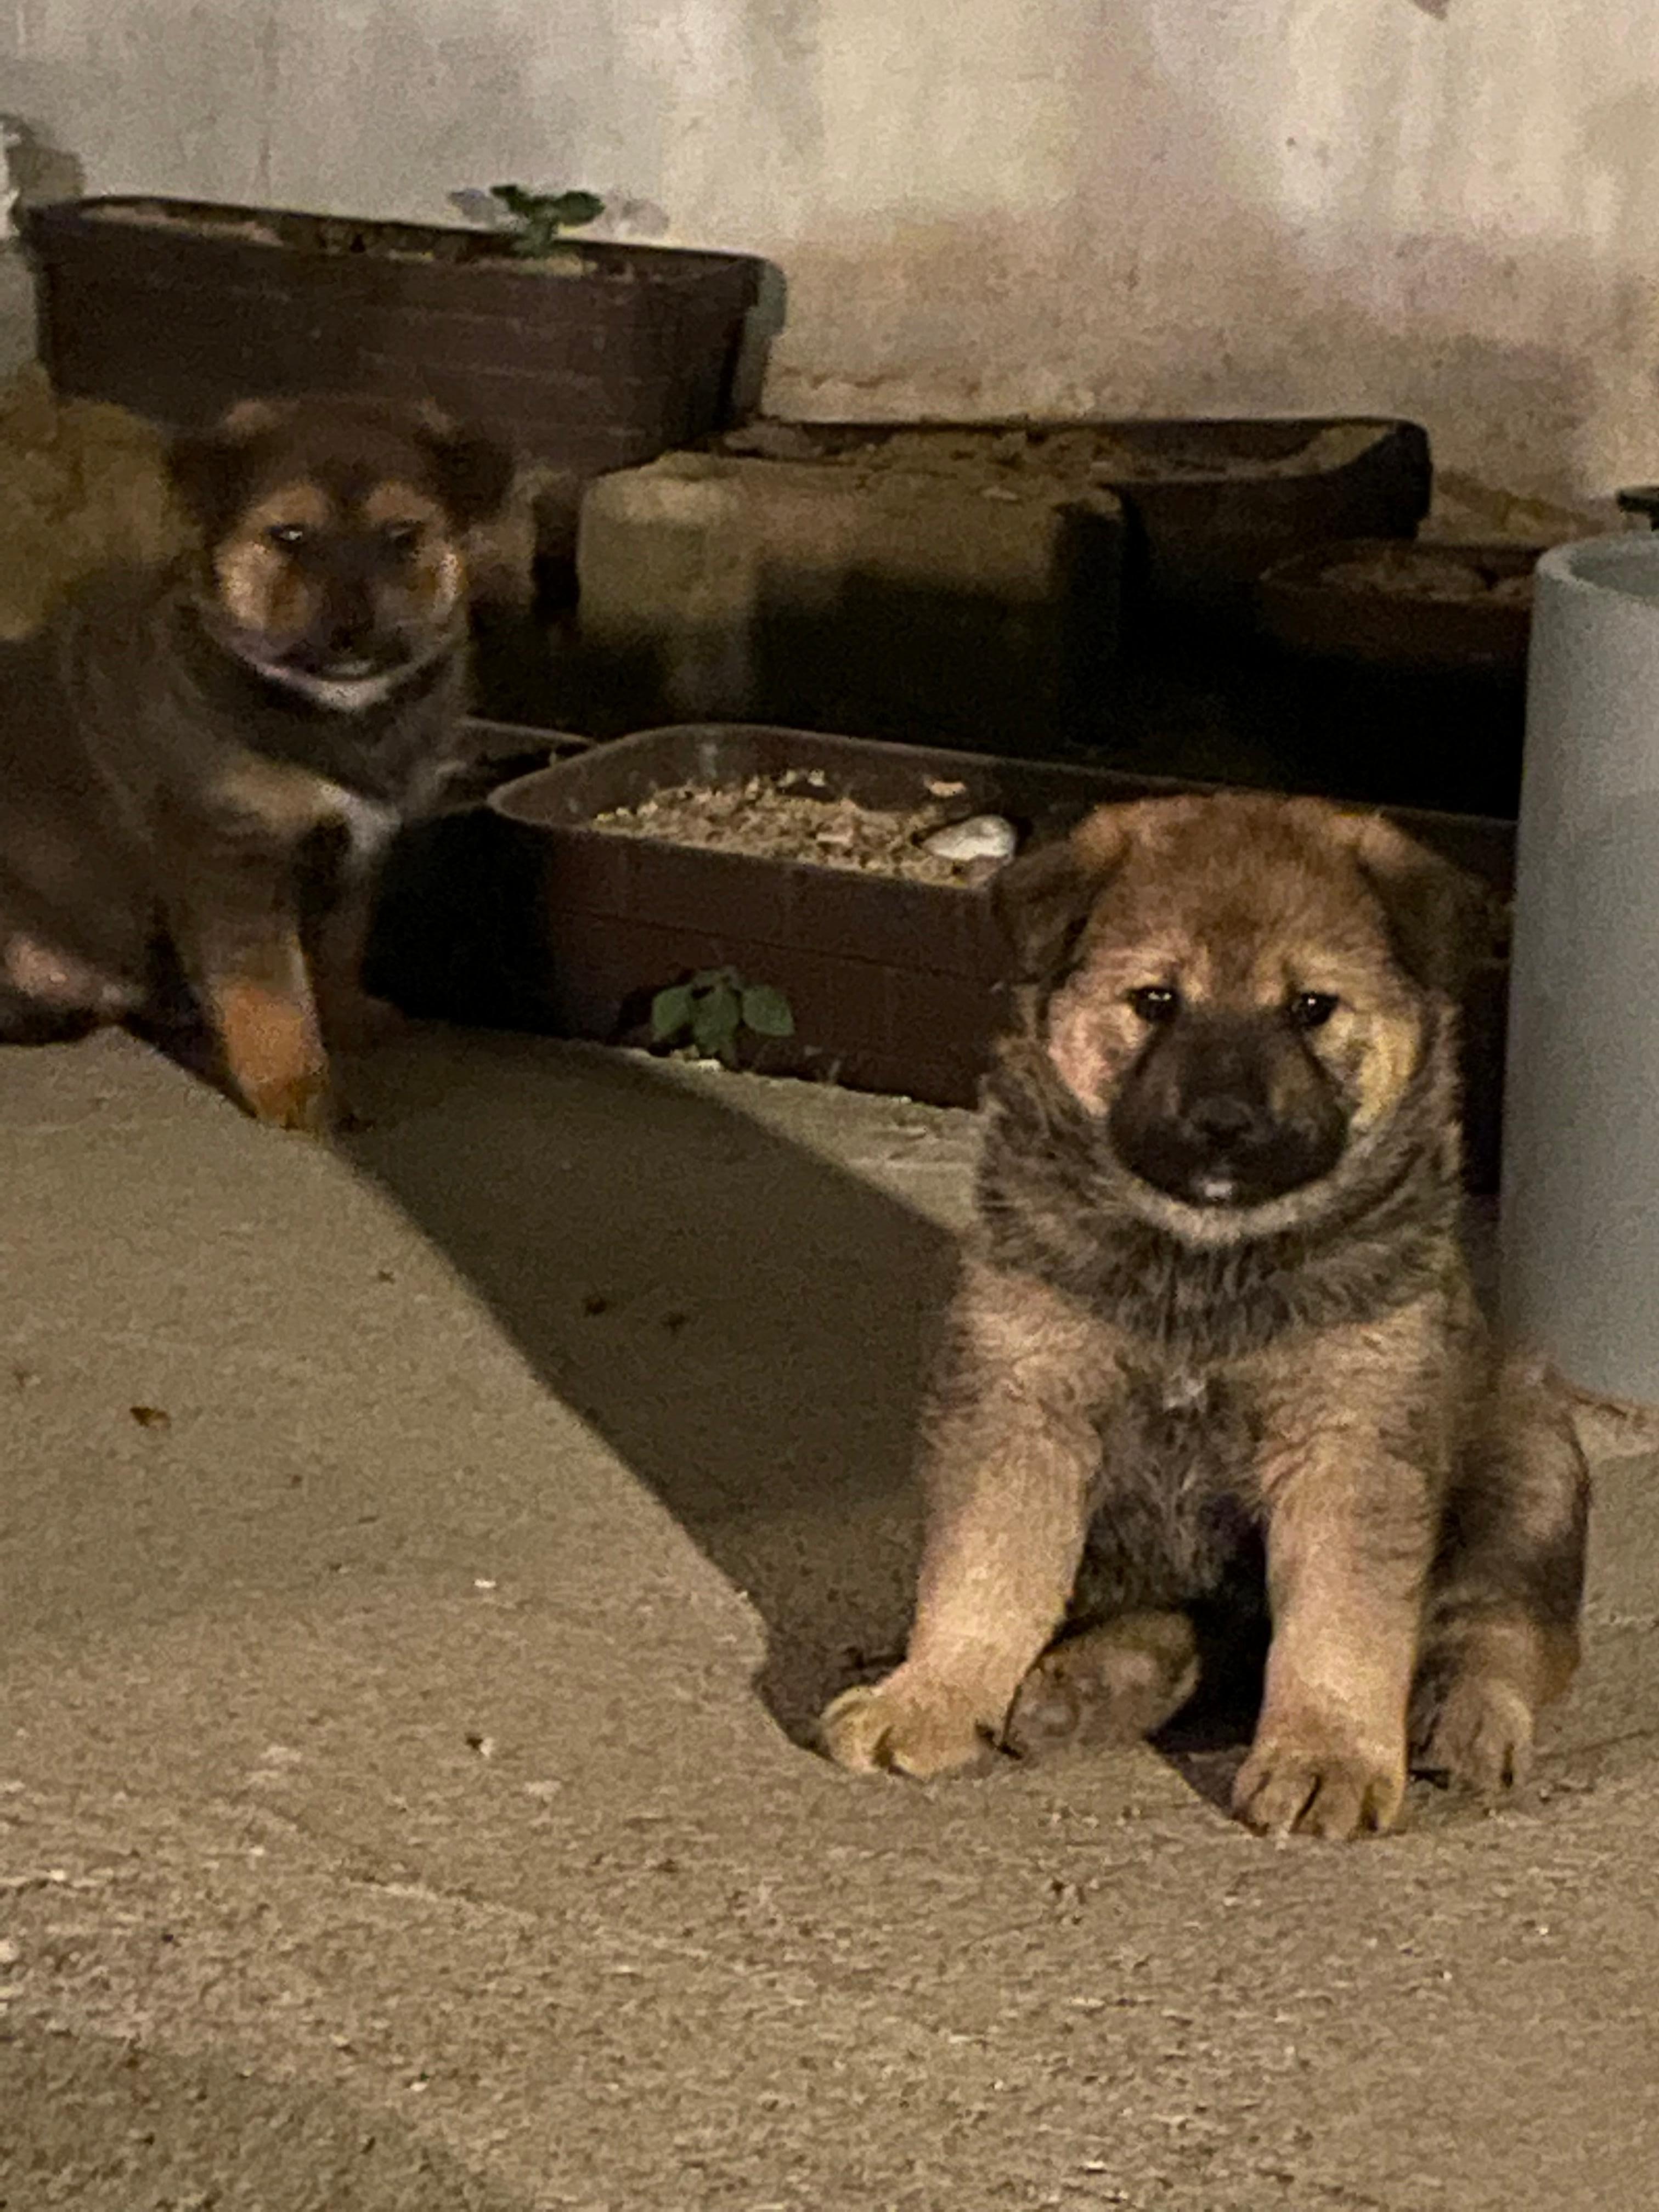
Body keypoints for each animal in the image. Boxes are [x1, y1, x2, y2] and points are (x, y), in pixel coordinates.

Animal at [0, 389, 513, 1132]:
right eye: (289, 536)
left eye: (403, 535)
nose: (351, 631)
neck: (330, 711)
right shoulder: (230, 856)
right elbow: (268, 990)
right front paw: (296, 1090)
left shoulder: (358, 856)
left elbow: (335, 955)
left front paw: (349, 1023)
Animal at [827, 805, 1593, 1840]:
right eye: (1155, 1000)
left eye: (1310, 1007)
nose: (1224, 1120)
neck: (1204, 1266)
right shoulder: (1021, 1399)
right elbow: (984, 1569)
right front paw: (931, 1696)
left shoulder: (1347, 1444)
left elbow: (1342, 1623)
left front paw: (1325, 1760)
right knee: (1209, 1637)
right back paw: (1090, 1684)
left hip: (1531, 1467)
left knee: (1495, 1627)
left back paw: (1466, 1721)